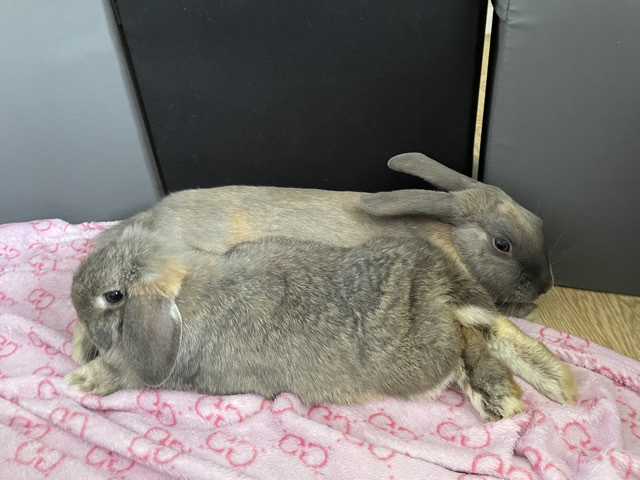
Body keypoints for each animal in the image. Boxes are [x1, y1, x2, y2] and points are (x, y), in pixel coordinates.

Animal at [66, 225, 576, 422]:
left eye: (113, 295)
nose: (74, 302)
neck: (185, 293)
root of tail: (436, 282)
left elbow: (125, 372)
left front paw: (80, 379)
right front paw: (79, 350)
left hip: (417, 363)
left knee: (467, 340)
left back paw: (500, 397)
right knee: (483, 330)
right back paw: (547, 385)